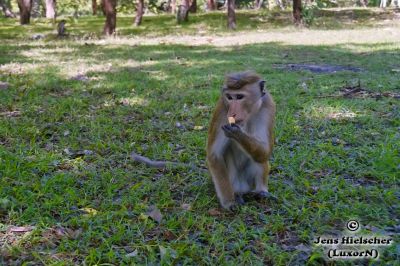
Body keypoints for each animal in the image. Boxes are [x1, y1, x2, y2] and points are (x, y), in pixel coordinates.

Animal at [206, 70, 276, 210]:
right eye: (229, 97)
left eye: (239, 97)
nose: (232, 113)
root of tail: (245, 189)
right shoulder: (222, 109)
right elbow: (215, 155)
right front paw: (229, 202)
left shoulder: (268, 105)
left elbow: (265, 151)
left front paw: (237, 134)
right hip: (236, 182)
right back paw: (237, 195)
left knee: (259, 158)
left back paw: (260, 192)